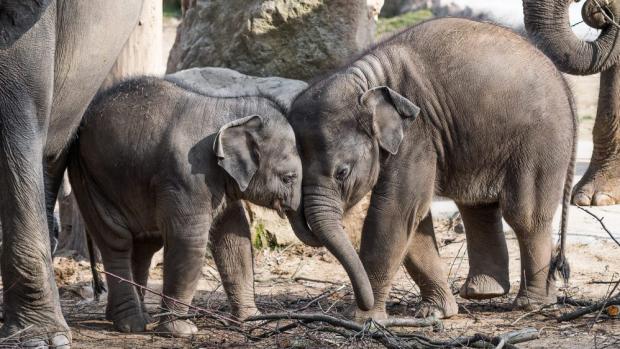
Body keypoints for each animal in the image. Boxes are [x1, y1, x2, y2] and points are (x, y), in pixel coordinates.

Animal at [68, 69, 308, 336]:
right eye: (288, 178)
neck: (228, 110)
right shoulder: (188, 175)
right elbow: (188, 239)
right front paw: (181, 331)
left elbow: (234, 238)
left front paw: (253, 322)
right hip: (89, 178)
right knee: (116, 241)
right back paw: (131, 324)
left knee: (144, 245)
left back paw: (134, 316)